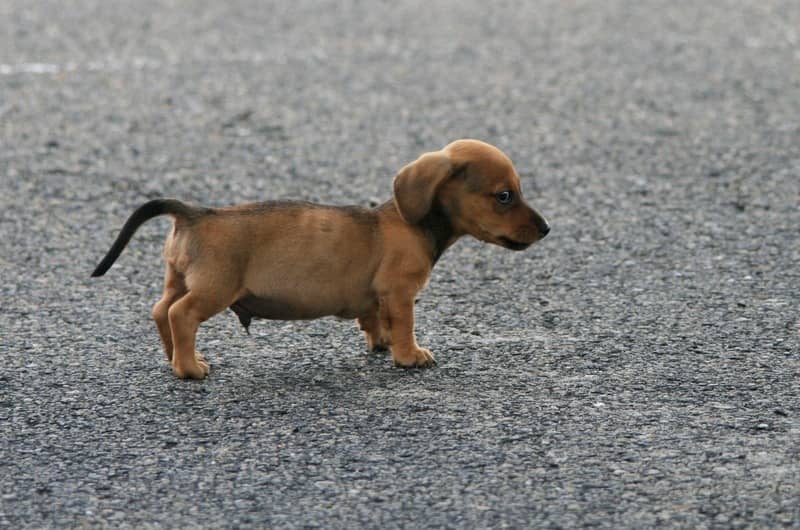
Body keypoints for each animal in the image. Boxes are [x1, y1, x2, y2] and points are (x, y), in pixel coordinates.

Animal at [90, 138, 548, 378]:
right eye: (504, 196)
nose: (546, 229)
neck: (410, 222)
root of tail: (195, 213)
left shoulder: (376, 298)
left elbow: (374, 321)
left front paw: (381, 343)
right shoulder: (400, 292)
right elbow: (404, 325)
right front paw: (409, 355)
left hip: (180, 278)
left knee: (161, 311)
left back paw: (175, 359)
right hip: (214, 290)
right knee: (180, 315)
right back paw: (188, 368)